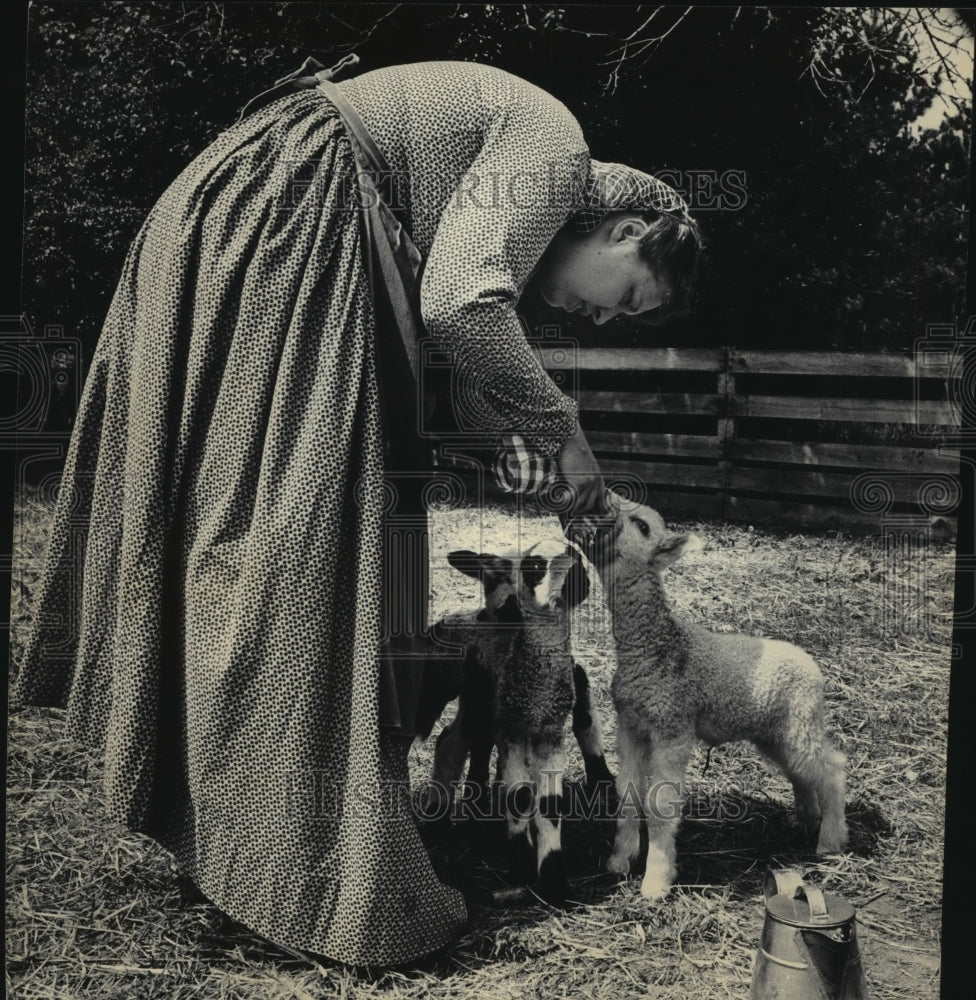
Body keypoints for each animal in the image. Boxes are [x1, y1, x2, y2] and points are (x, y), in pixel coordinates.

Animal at [572, 496, 848, 904]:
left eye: (642, 526)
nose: (599, 508)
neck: (651, 646)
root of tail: (810, 663)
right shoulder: (631, 724)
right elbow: (628, 794)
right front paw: (620, 860)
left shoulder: (673, 727)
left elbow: (660, 804)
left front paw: (655, 882)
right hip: (774, 731)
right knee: (802, 771)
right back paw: (807, 818)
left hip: (801, 718)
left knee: (831, 769)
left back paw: (830, 841)